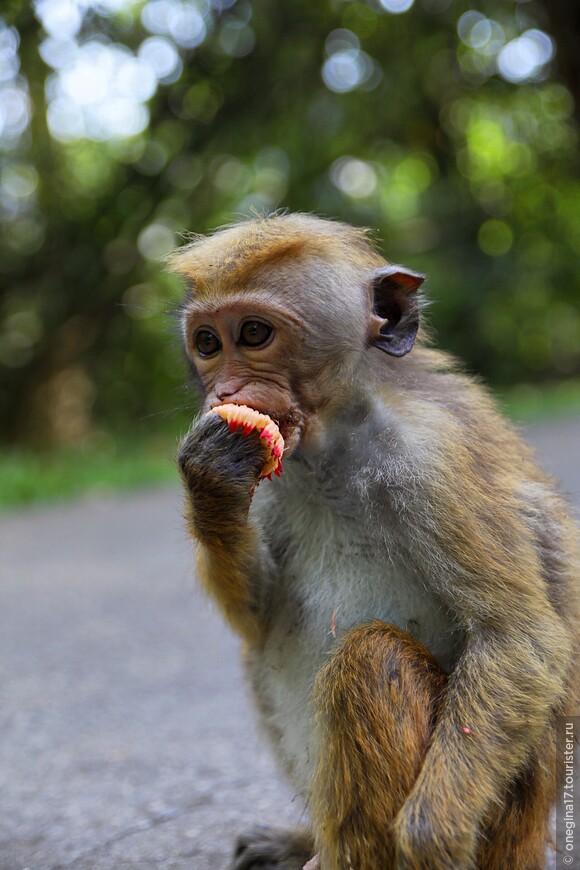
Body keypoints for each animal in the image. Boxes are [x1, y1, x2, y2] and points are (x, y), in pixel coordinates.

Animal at [171, 216, 580, 870]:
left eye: (254, 334)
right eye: (208, 343)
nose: (225, 391)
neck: (336, 443)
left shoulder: (432, 463)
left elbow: (519, 638)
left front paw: (432, 834)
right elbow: (260, 615)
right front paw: (211, 481)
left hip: (506, 821)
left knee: (370, 658)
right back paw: (305, 842)